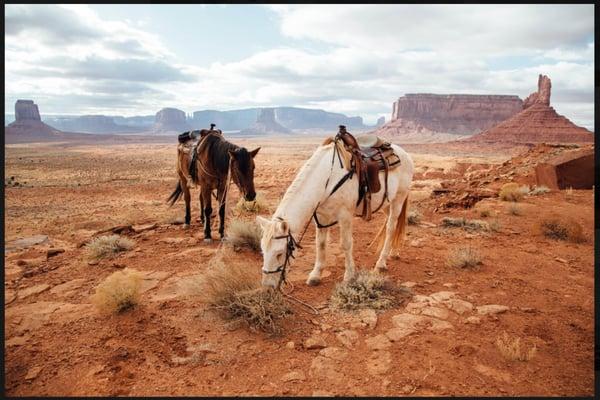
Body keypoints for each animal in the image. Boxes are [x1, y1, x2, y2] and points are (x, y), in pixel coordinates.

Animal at [255, 136, 414, 290]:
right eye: (263, 251)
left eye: (280, 253)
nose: (268, 287)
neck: (327, 177)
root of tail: (405, 154)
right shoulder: (321, 217)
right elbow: (320, 244)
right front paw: (315, 275)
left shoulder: (345, 216)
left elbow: (346, 244)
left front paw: (349, 275)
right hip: (386, 203)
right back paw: (394, 252)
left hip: (398, 200)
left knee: (391, 228)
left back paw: (381, 262)